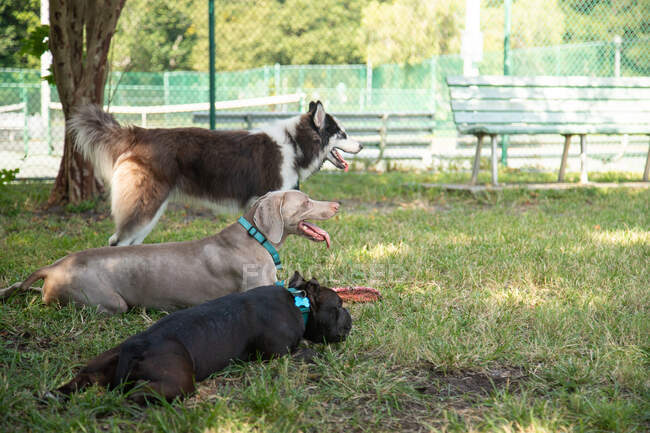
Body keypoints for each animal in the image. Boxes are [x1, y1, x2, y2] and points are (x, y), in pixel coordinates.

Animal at [53, 272, 352, 404]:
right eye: (338, 306)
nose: (349, 316)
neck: (300, 304)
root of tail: (135, 348)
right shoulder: (280, 355)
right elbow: (309, 350)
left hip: (100, 364)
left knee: (80, 380)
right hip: (177, 382)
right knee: (130, 395)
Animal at [70, 99, 362, 245]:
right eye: (343, 134)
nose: (362, 145)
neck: (294, 143)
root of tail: (139, 133)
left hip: (151, 211)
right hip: (145, 207)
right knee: (118, 241)